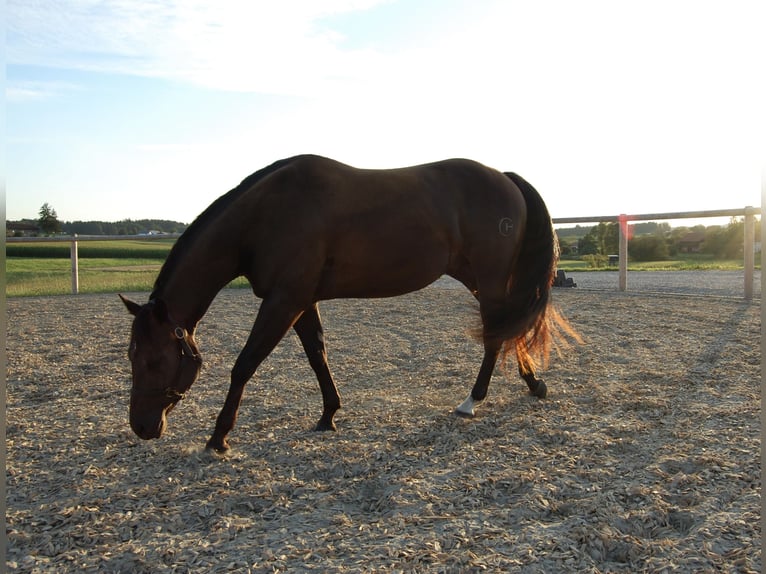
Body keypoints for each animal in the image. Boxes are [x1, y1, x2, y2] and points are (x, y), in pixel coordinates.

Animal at [120, 154, 578, 452]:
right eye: (132, 355)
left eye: (154, 360)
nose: (141, 426)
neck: (265, 215)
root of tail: (504, 177)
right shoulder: (301, 301)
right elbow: (317, 355)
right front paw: (329, 415)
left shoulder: (283, 301)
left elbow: (245, 364)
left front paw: (219, 436)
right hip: (478, 278)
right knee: (506, 328)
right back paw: (534, 384)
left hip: (490, 277)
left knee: (496, 335)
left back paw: (473, 401)